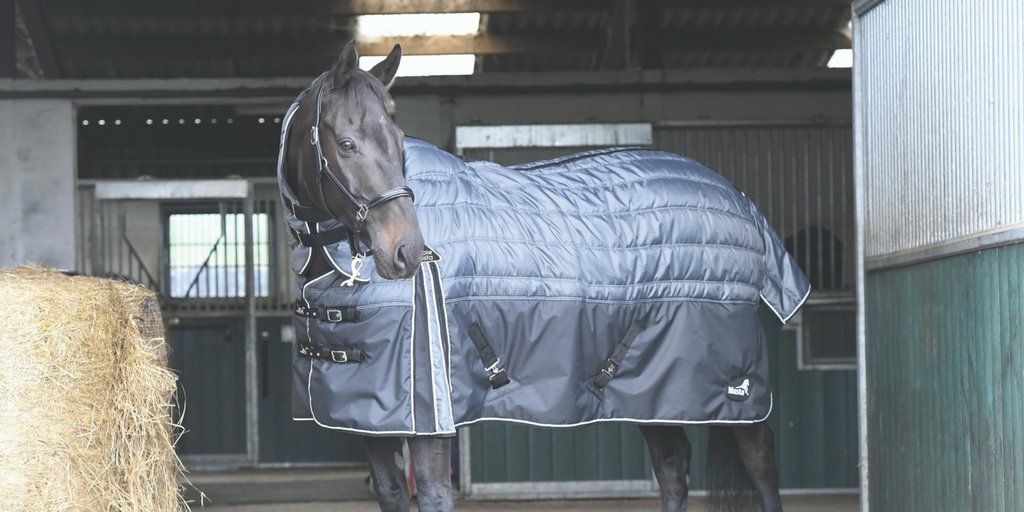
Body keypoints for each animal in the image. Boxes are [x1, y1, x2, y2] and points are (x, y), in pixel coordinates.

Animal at [278, 42, 806, 512]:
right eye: (346, 143)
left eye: (401, 141)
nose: (406, 252)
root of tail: (740, 201)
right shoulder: (369, 422)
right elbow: (390, 493)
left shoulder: (428, 419)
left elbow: (431, 494)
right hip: (654, 391)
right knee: (673, 467)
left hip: (734, 393)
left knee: (760, 464)